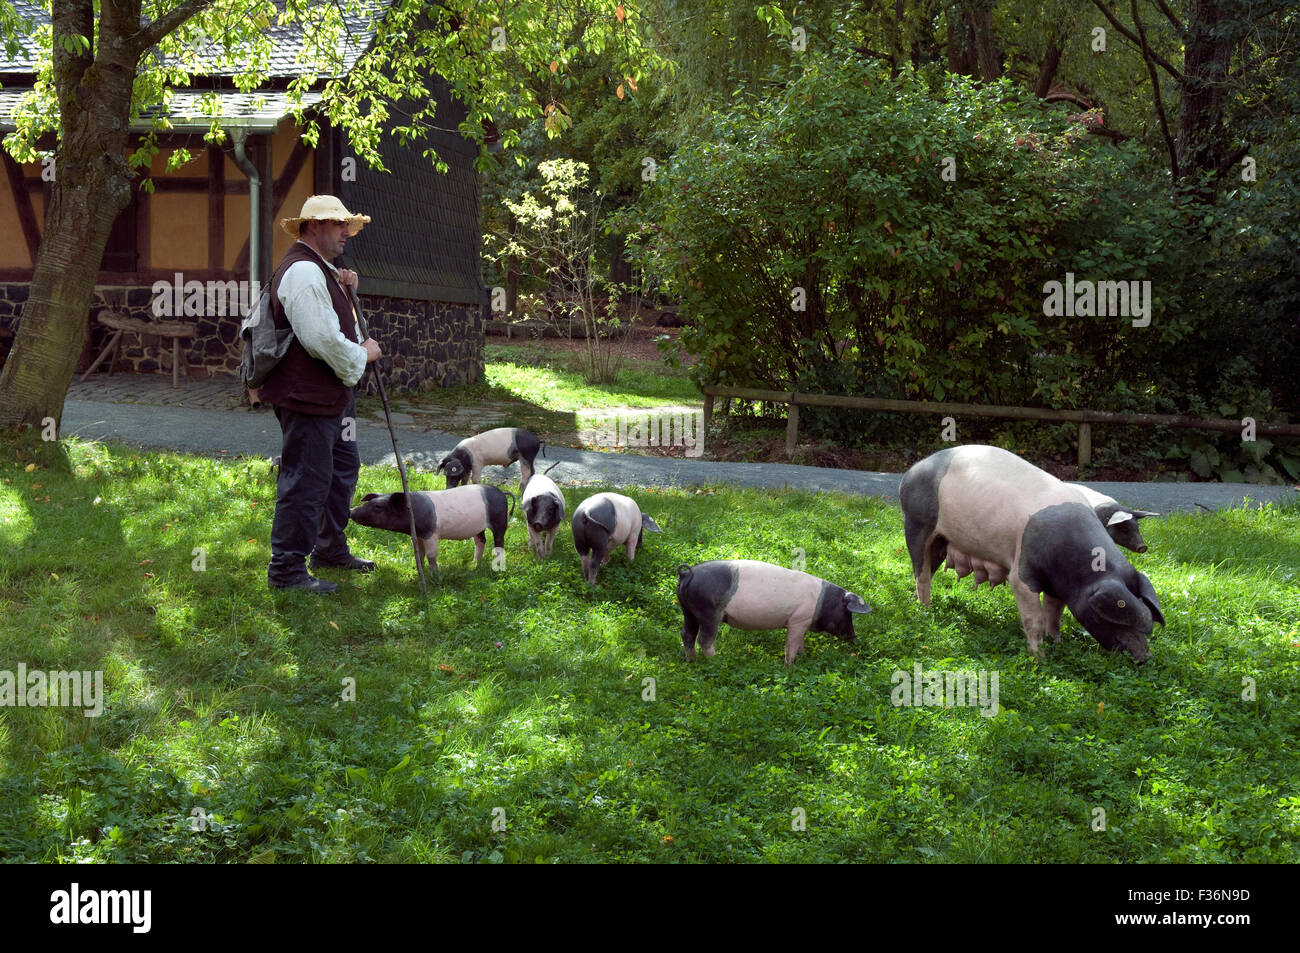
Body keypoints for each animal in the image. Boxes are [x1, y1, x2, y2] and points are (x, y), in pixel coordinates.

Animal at [351, 486, 512, 569]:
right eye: (368, 502)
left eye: (378, 507)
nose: (351, 510)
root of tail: (502, 492)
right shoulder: (417, 535)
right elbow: (419, 554)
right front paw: (419, 569)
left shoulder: (431, 533)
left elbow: (431, 555)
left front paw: (435, 576)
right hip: (479, 527)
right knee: (481, 541)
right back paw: (474, 565)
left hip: (500, 521)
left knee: (499, 543)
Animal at [676, 556, 868, 660]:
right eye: (848, 613)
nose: (853, 635)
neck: (822, 601)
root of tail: (687, 573)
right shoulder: (798, 620)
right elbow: (791, 646)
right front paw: (790, 668)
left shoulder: (801, 623)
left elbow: (800, 643)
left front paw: (804, 656)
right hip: (708, 612)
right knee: (704, 640)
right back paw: (716, 661)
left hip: (688, 610)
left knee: (687, 634)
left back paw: (692, 661)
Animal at [899, 444, 1164, 660]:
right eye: (1109, 617)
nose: (1145, 657)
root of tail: (910, 472)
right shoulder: (1022, 573)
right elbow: (1033, 617)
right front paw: (1040, 658)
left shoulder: (1058, 587)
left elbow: (1054, 615)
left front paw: (1056, 644)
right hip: (916, 523)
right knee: (921, 571)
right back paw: (925, 609)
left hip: (942, 540)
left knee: (928, 568)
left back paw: (915, 600)